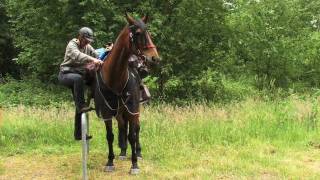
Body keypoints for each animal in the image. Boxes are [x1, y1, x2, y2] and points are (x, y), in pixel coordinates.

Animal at [92, 13, 160, 174]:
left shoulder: (132, 110)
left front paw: (135, 164)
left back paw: (138, 153)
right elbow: (110, 136)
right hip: (120, 112)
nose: (155, 58)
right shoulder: (107, 113)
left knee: (136, 130)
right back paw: (123, 152)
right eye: (138, 33)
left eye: (149, 33)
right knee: (123, 127)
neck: (116, 78)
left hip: (134, 111)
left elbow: (133, 136)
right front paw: (110, 162)